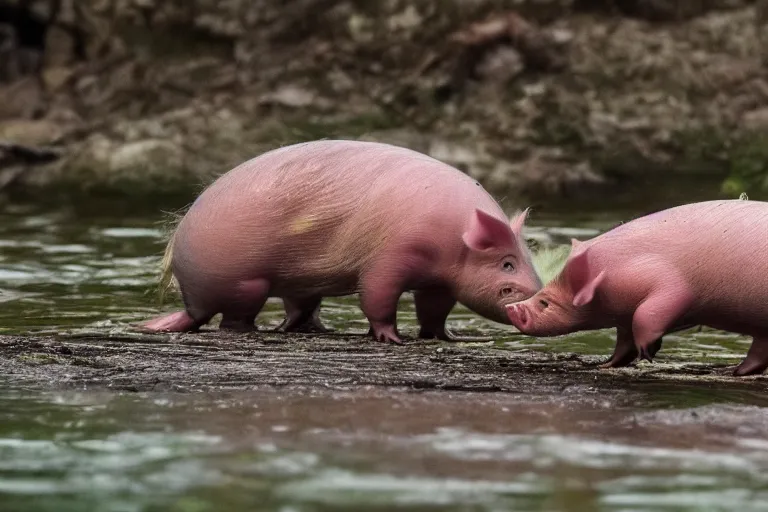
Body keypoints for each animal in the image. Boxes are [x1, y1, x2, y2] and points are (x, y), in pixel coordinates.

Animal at [141, 139, 544, 344]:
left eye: (528, 259)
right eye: (507, 264)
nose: (537, 298)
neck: (455, 240)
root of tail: (190, 302)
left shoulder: (439, 283)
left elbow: (434, 311)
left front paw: (448, 338)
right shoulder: (390, 258)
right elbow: (377, 297)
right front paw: (393, 340)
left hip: (300, 285)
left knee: (298, 311)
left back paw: (315, 329)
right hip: (247, 285)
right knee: (231, 320)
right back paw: (258, 330)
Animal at [504, 200, 768, 376]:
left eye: (544, 301)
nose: (512, 307)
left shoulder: (667, 284)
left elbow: (650, 313)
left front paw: (648, 355)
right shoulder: (623, 315)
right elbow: (623, 342)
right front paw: (604, 365)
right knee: (759, 352)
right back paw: (734, 371)